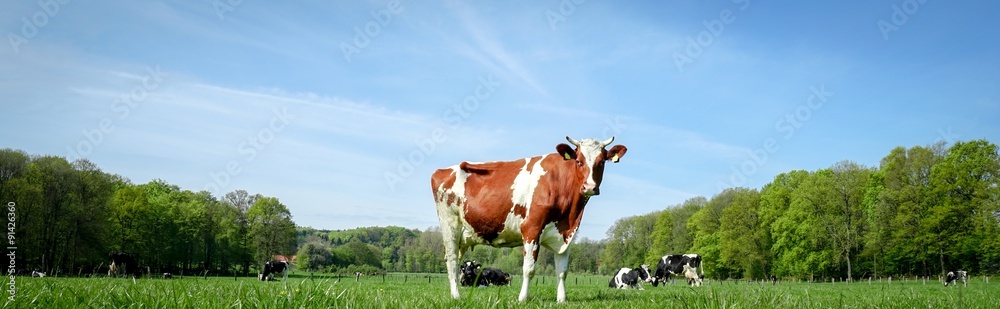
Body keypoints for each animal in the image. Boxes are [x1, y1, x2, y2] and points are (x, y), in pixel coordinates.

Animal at [428, 135, 624, 300]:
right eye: (578, 161)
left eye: (601, 161)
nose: (589, 187)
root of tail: (443, 170)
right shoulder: (532, 229)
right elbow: (529, 269)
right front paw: (523, 298)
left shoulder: (566, 235)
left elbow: (562, 271)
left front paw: (562, 299)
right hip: (450, 227)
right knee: (452, 261)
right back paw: (456, 296)